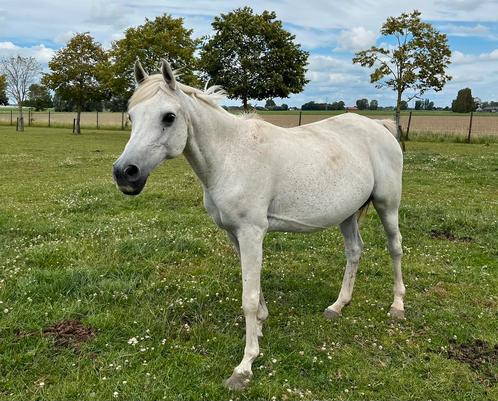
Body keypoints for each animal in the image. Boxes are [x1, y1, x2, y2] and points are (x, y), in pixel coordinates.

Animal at [113, 59, 404, 390]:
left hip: (387, 205)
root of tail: (379, 127)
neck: (229, 156)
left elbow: (248, 298)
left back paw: (397, 306)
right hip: (347, 213)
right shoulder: (235, 235)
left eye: (169, 117)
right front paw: (262, 326)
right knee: (354, 251)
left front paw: (245, 366)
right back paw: (338, 306)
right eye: (132, 115)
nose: (125, 173)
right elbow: (254, 286)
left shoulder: (251, 233)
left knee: (395, 248)